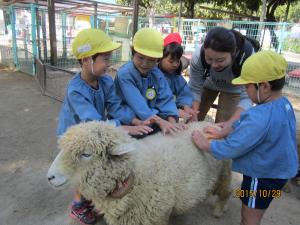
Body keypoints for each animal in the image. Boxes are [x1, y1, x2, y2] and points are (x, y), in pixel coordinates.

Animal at [48, 121, 232, 225]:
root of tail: (214, 124)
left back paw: (218, 211)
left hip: (224, 173)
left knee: (226, 192)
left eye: (86, 154)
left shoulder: (158, 216)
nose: (50, 177)